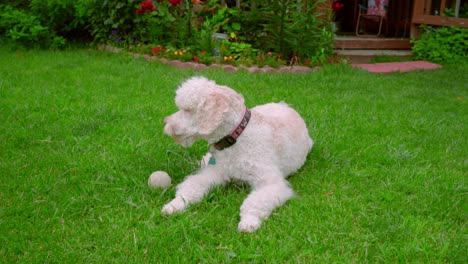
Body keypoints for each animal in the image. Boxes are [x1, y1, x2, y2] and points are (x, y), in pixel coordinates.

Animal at [163, 76, 312, 233]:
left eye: (187, 109)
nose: (165, 122)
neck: (237, 140)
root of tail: (285, 105)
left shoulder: (270, 183)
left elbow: (255, 201)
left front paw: (248, 221)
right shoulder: (214, 173)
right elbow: (192, 186)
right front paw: (174, 205)